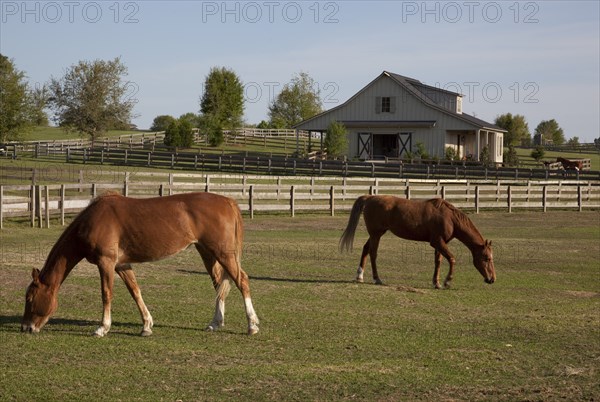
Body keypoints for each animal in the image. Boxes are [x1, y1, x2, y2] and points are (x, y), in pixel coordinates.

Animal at [20, 193, 260, 338]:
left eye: (30, 298)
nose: (26, 327)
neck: (93, 220)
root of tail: (228, 201)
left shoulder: (106, 263)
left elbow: (106, 294)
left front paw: (102, 327)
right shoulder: (122, 265)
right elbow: (135, 292)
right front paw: (146, 325)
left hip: (223, 253)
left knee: (242, 281)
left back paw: (252, 325)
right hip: (208, 253)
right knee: (219, 285)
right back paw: (215, 323)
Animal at [340, 196, 494, 288]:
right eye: (486, 258)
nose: (492, 279)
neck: (449, 218)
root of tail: (370, 197)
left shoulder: (439, 243)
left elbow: (438, 262)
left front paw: (436, 282)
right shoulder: (437, 242)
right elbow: (451, 259)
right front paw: (447, 281)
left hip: (375, 234)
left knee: (366, 249)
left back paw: (360, 276)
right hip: (376, 234)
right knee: (373, 253)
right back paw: (377, 278)